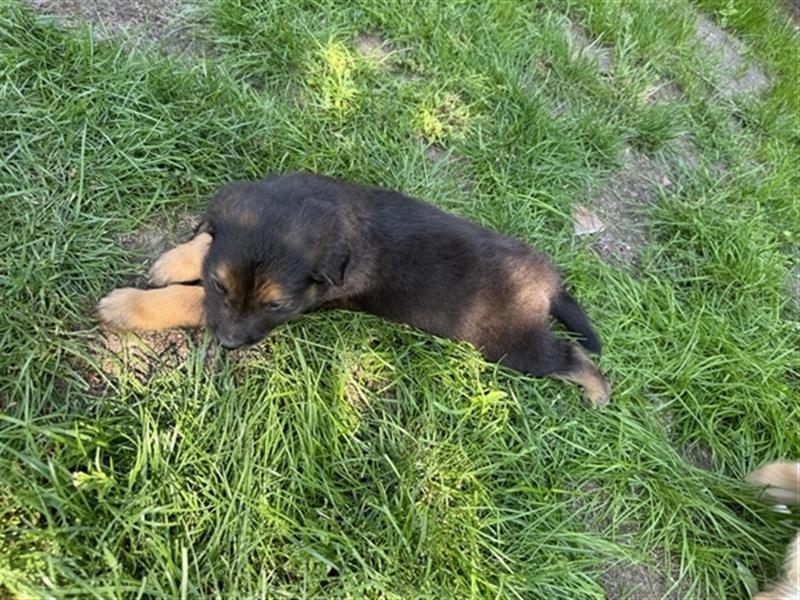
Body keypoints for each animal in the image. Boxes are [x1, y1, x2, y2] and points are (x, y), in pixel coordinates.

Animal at [100, 173, 612, 408]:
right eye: (220, 284)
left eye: (275, 304)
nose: (228, 345)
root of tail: (550, 282)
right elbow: (207, 247)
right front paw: (175, 259)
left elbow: (187, 300)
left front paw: (127, 305)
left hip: (510, 342)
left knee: (571, 356)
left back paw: (597, 392)